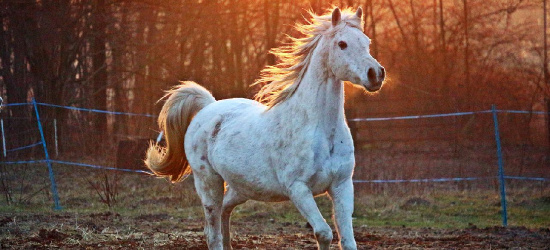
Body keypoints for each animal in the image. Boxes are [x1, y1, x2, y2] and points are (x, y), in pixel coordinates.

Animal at [144, 7, 386, 250]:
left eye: (366, 41)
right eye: (342, 44)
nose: (375, 74)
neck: (320, 131)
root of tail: (208, 107)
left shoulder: (342, 185)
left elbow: (347, 240)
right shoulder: (298, 189)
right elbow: (324, 233)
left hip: (243, 187)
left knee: (225, 211)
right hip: (208, 182)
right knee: (213, 231)